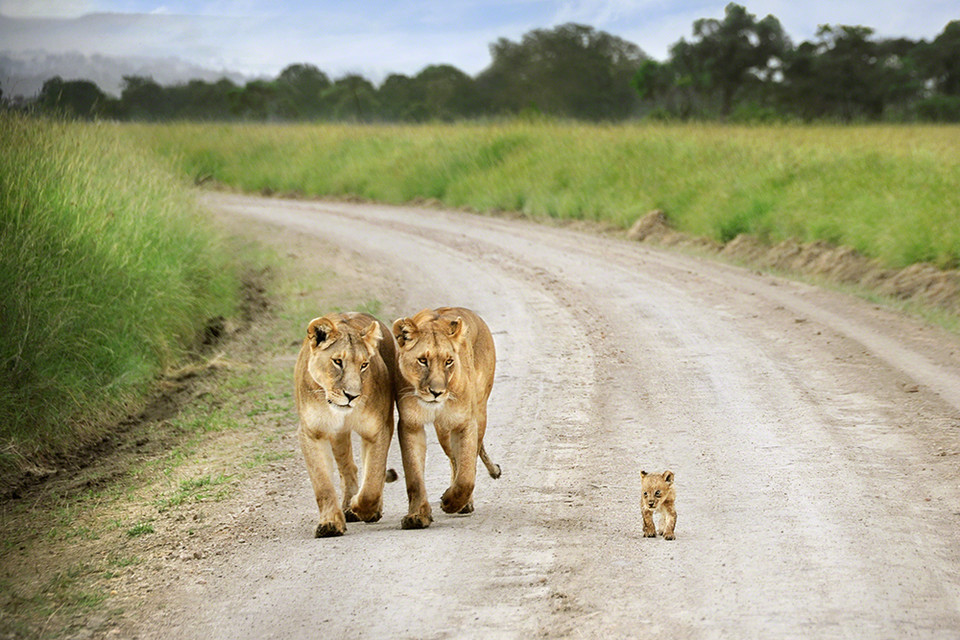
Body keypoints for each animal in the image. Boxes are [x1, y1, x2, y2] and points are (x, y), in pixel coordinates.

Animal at [292, 312, 398, 536]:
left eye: (364, 365)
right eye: (337, 361)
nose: (352, 396)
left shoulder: (379, 428)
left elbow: (373, 478)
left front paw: (363, 508)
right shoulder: (311, 432)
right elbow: (322, 483)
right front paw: (330, 523)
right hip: (337, 435)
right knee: (348, 467)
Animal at [394, 306, 506, 528]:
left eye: (448, 362)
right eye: (422, 360)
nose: (436, 392)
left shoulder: (465, 422)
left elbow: (466, 475)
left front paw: (451, 502)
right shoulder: (410, 424)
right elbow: (414, 475)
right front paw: (417, 516)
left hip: (478, 413)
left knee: (468, 459)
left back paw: (464, 503)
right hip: (443, 430)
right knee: (454, 459)